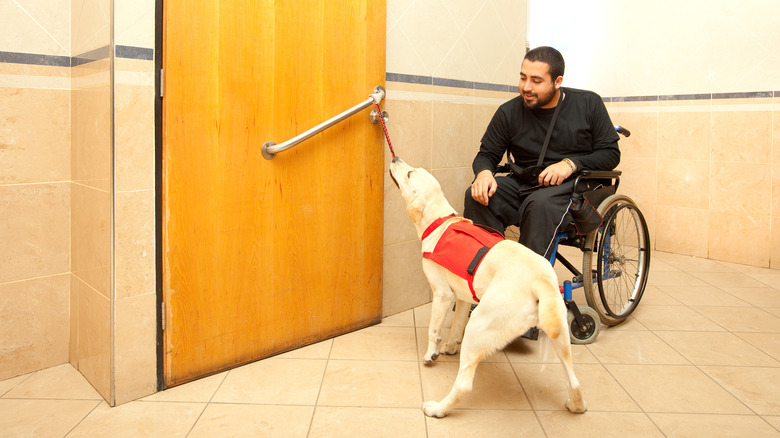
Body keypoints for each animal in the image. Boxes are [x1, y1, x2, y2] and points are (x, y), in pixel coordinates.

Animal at [390, 157, 584, 418]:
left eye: (410, 173)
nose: (394, 158)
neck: (439, 222)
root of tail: (540, 280)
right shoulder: (463, 298)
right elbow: (455, 326)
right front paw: (450, 346)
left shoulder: (442, 294)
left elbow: (433, 330)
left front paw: (432, 353)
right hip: (560, 333)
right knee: (574, 381)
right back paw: (576, 405)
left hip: (479, 325)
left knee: (463, 385)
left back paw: (437, 408)